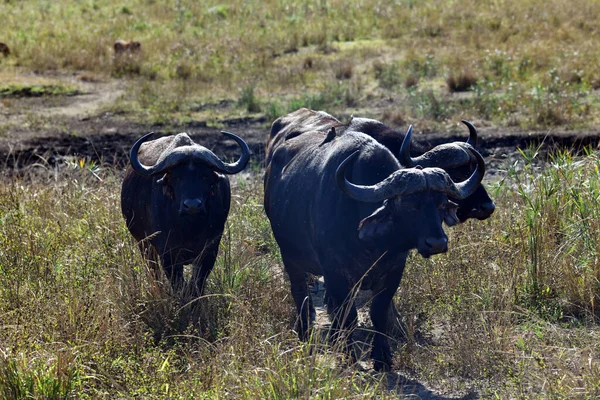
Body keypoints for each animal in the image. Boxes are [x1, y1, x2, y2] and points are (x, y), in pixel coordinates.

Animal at [120, 130, 250, 296]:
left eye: (205, 176)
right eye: (177, 178)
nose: (192, 206)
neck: (189, 227)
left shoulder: (209, 251)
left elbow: (197, 282)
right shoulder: (168, 253)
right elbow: (177, 283)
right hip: (143, 243)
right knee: (153, 269)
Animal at [264, 111, 486, 370]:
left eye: (441, 204)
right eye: (409, 206)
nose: (437, 243)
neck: (372, 244)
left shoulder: (394, 271)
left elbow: (379, 313)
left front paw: (382, 357)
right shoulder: (335, 273)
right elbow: (348, 315)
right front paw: (349, 355)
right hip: (290, 258)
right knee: (300, 294)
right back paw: (304, 332)